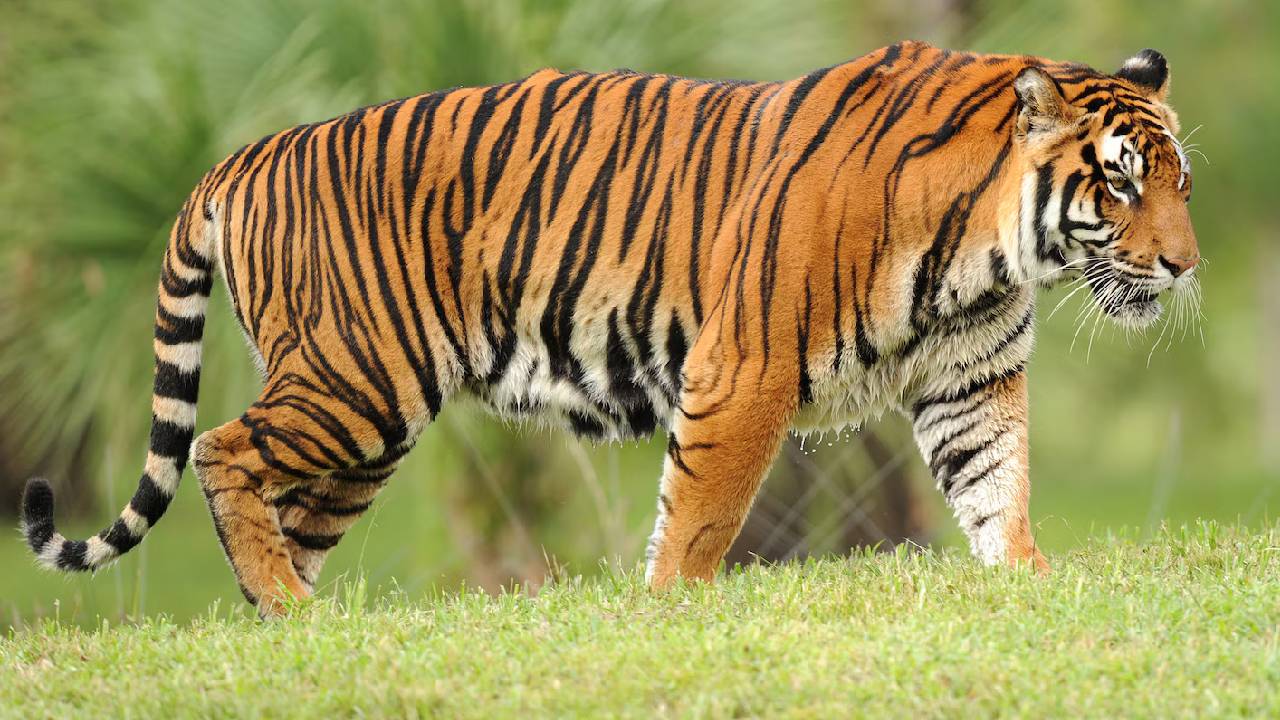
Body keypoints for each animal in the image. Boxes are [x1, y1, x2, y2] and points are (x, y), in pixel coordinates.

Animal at [22, 41, 1199, 616]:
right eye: (1120, 183)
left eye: (1178, 182)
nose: (1184, 266)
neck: (988, 249)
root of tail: (244, 153)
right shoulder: (743, 369)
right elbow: (702, 516)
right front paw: (670, 608)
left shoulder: (970, 385)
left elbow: (997, 492)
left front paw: (1027, 584)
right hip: (354, 379)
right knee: (223, 450)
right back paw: (282, 608)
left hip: (366, 429)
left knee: (281, 510)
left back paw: (290, 626)